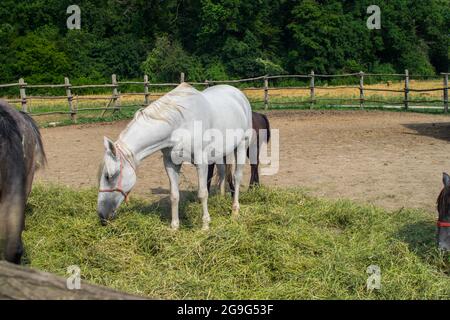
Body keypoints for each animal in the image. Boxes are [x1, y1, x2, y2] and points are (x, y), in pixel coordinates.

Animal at [96, 82, 251, 230]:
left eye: (109, 176)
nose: (102, 216)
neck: (179, 124)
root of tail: (237, 93)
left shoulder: (201, 162)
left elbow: (202, 193)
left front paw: (205, 226)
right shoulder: (170, 163)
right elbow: (174, 195)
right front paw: (174, 226)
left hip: (242, 145)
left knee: (237, 177)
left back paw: (235, 211)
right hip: (220, 153)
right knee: (223, 173)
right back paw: (221, 199)